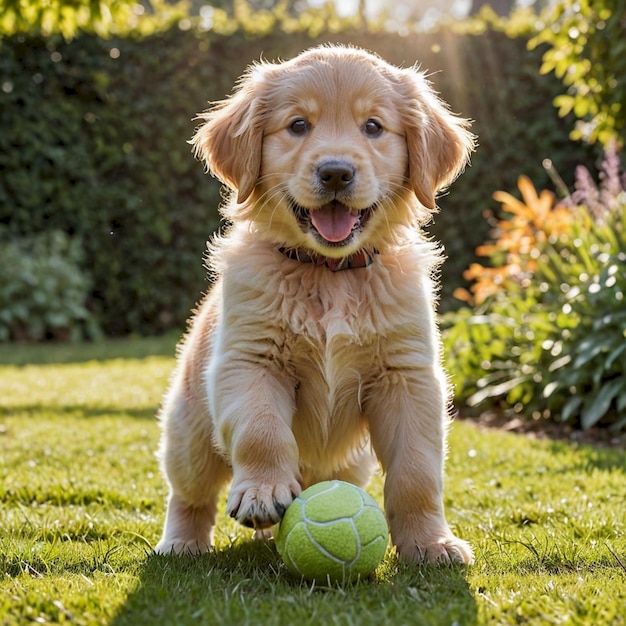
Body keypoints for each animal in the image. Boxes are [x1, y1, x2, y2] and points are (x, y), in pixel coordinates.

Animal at [155, 44, 472, 560]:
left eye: (373, 126)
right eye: (298, 125)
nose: (336, 172)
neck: (331, 273)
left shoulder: (407, 377)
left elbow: (417, 472)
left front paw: (431, 543)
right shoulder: (250, 361)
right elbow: (262, 431)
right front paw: (262, 491)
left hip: (351, 462)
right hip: (189, 435)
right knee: (189, 493)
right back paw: (181, 543)